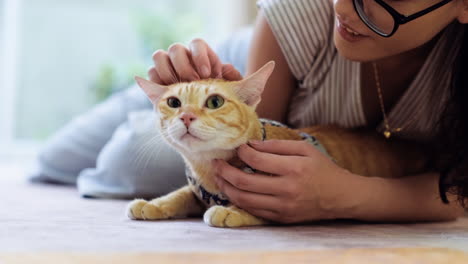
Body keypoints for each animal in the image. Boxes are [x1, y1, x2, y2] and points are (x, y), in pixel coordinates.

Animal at [127, 61, 428, 227]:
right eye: (173, 102)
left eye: (215, 102)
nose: (186, 116)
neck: (209, 172)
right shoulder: (197, 190)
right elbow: (179, 195)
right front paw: (153, 204)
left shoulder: (285, 198)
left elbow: (260, 207)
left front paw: (231, 211)